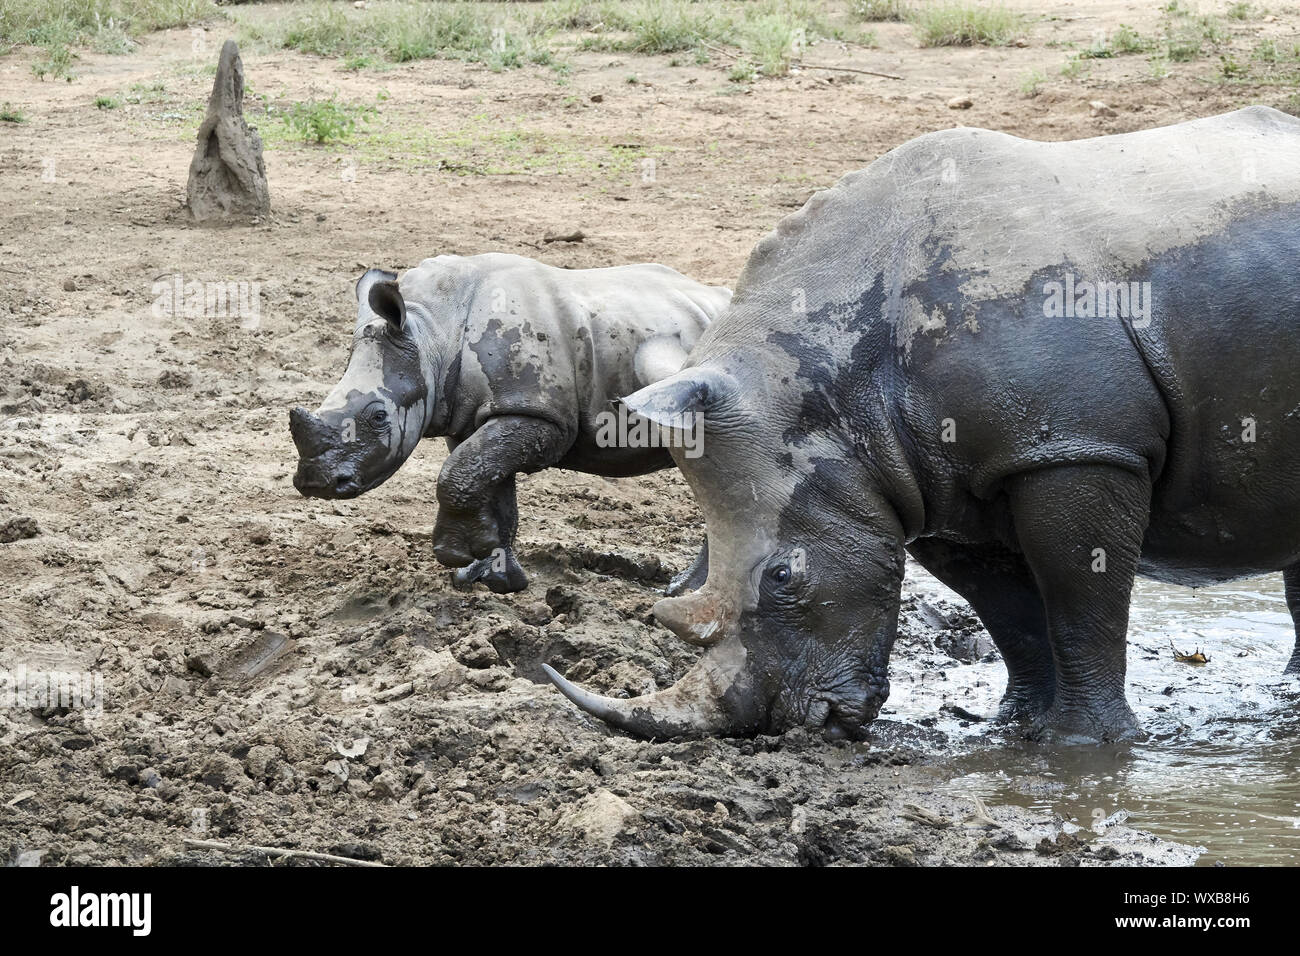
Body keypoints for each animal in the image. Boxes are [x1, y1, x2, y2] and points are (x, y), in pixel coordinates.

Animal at [289, 257, 733, 595]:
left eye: (378, 416)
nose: (317, 484)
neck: (432, 330)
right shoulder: (474, 419)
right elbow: (484, 482)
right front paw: (491, 577)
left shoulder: (539, 416)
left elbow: (457, 475)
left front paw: (455, 555)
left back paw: (684, 591)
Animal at [551, 106, 1300, 749]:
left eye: (785, 577)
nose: (790, 723)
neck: (825, 382)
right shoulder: (932, 479)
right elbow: (1011, 612)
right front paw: (1012, 729)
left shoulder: (1073, 446)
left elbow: (1080, 598)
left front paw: (1083, 747)